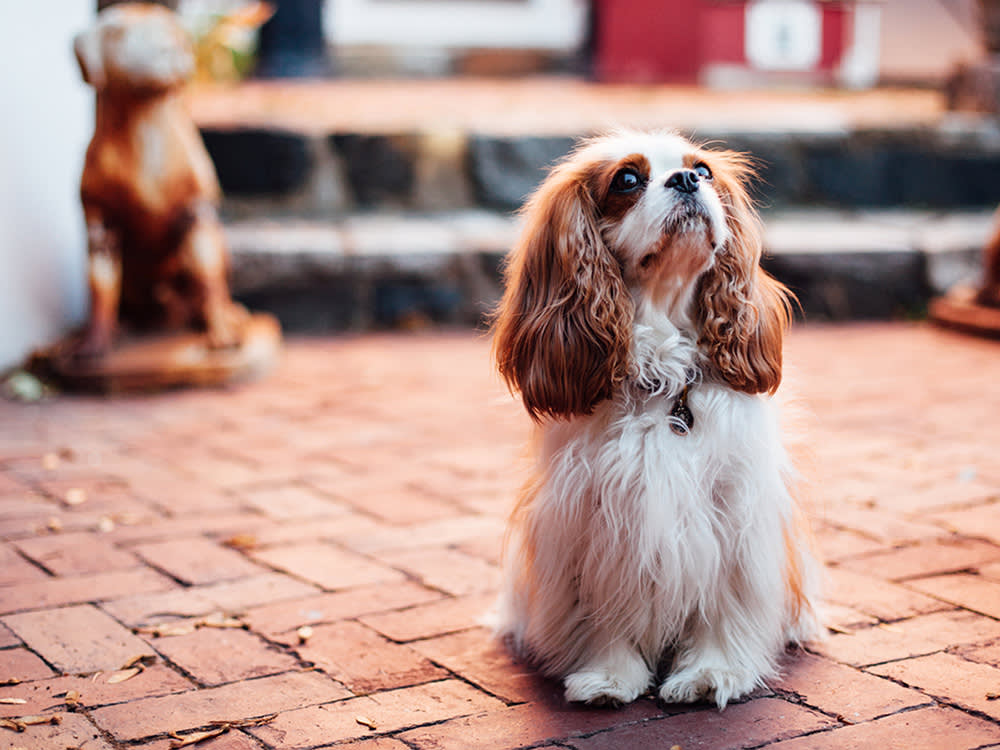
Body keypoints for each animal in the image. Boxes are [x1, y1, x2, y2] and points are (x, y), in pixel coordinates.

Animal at [73, 3, 246, 358]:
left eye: (171, 31)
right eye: (118, 33)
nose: (176, 48)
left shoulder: (196, 215)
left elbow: (208, 280)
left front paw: (221, 330)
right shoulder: (100, 224)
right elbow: (100, 287)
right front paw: (94, 342)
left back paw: (226, 315)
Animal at [492, 131, 820, 712]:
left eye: (704, 170)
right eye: (627, 179)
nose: (686, 180)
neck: (665, 373)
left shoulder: (732, 512)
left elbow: (723, 600)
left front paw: (712, 671)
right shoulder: (596, 521)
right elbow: (604, 609)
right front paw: (608, 676)